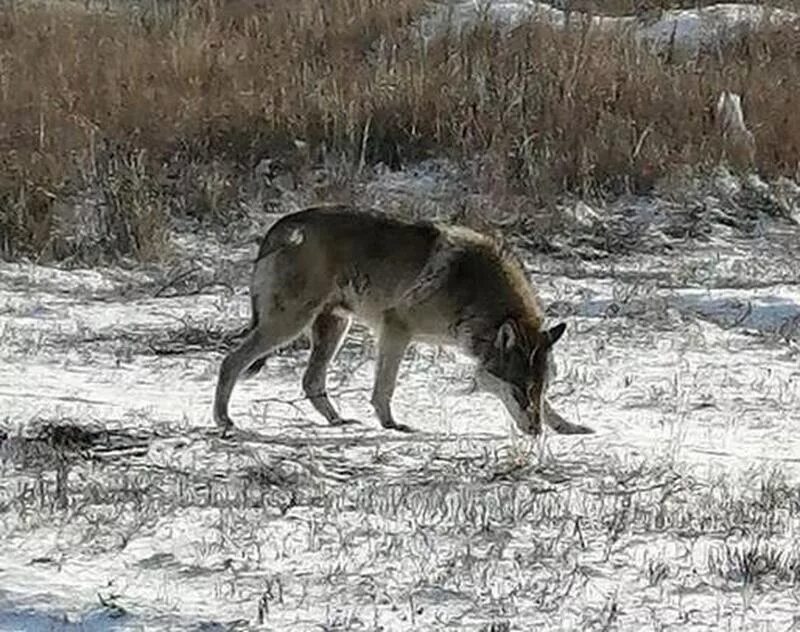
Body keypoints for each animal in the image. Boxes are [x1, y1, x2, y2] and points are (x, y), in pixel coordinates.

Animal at [212, 205, 592, 436]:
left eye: (537, 389)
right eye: (518, 391)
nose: (535, 432)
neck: (474, 294)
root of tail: (282, 223)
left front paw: (566, 426)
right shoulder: (396, 329)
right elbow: (385, 387)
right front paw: (392, 425)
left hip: (333, 327)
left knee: (310, 381)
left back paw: (339, 421)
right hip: (289, 324)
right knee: (230, 362)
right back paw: (223, 420)